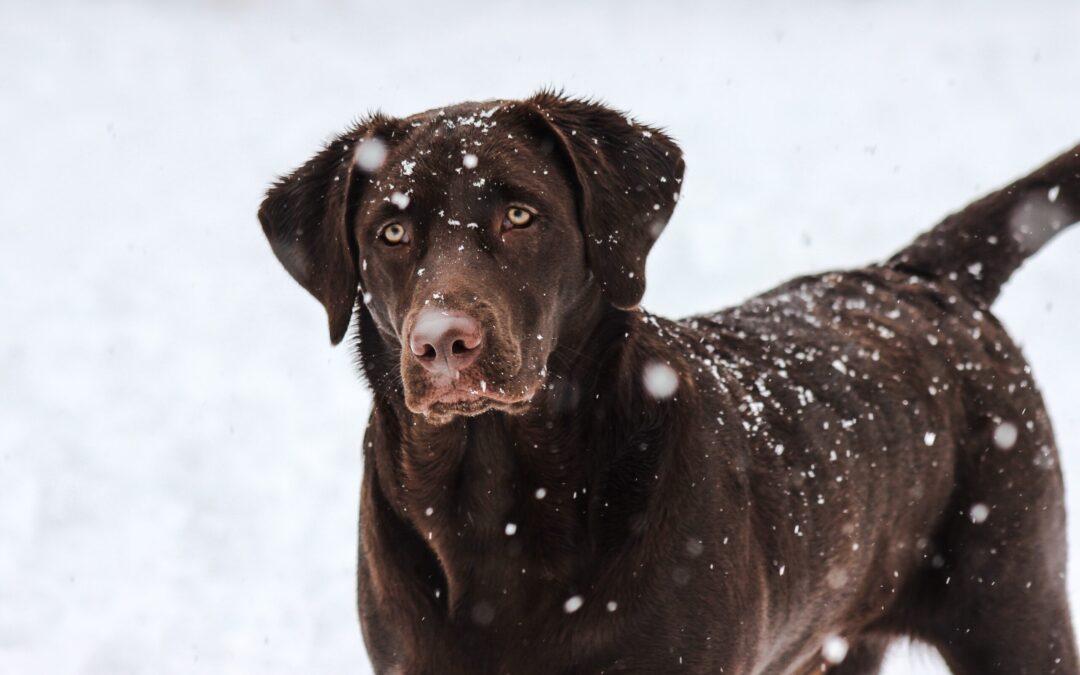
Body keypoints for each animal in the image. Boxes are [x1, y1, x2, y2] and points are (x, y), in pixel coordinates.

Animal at [257, 90, 1075, 673]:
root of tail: (917, 277)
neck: (500, 505)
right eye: (392, 232)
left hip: (1016, 607)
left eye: (520, 214)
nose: (441, 344)